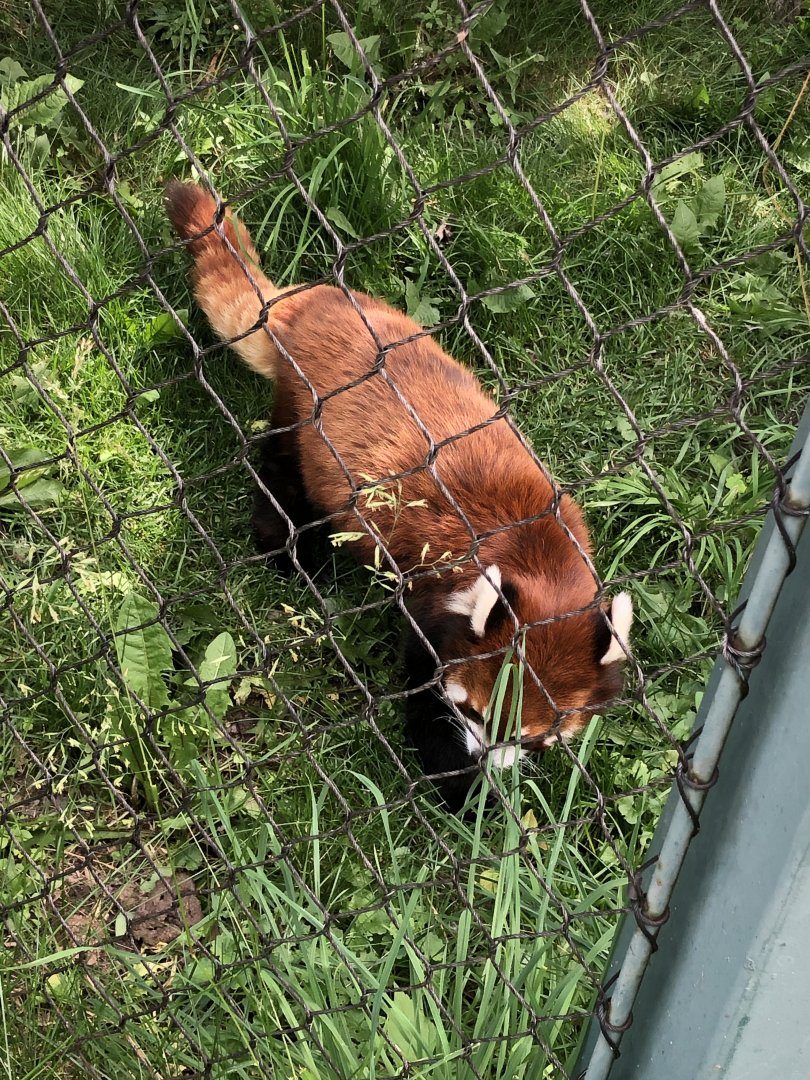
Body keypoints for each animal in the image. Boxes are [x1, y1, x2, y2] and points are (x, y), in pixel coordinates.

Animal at [166, 181, 633, 811]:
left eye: (533, 739)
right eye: (474, 714)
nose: (486, 760)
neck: (537, 556)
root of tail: (309, 303)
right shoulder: (433, 597)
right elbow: (423, 685)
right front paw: (456, 785)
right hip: (305, 416)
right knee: (282, 468)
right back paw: (287, 548)